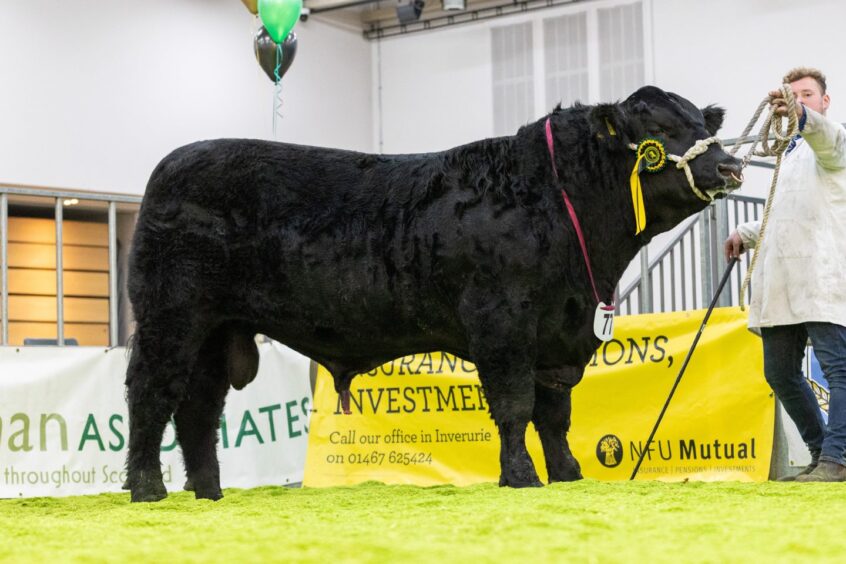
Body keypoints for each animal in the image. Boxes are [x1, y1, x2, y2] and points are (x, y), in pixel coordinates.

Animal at [124, 86, 744, 500]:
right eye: (659, 132)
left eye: (700, 122)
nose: (731, 165)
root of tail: (171, 165)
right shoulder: (502, 321)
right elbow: (515, 406)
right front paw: (521, 478)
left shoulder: (560, 334)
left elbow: (555, 415)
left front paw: (568, 475)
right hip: (169, 319)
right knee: (151, 395)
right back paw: (148, 488)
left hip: (216, 331)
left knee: (198, 407)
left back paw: (208, 493)